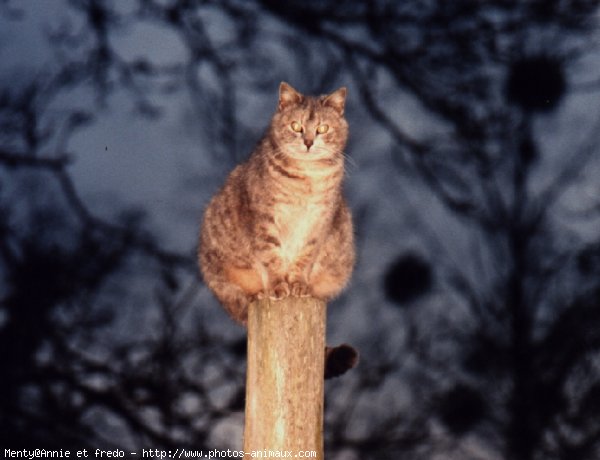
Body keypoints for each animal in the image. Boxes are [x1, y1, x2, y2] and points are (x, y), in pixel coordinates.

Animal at [198, 82, 356, 378]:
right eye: (295, 126)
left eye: (323, 128)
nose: (308, 142)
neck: (307, 177)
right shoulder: (265, 221)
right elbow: (271, 257)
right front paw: (279, 285)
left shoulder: (317, 225)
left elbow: (304, 259)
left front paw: (298, 284)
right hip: (220, 275)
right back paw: (258, 293)